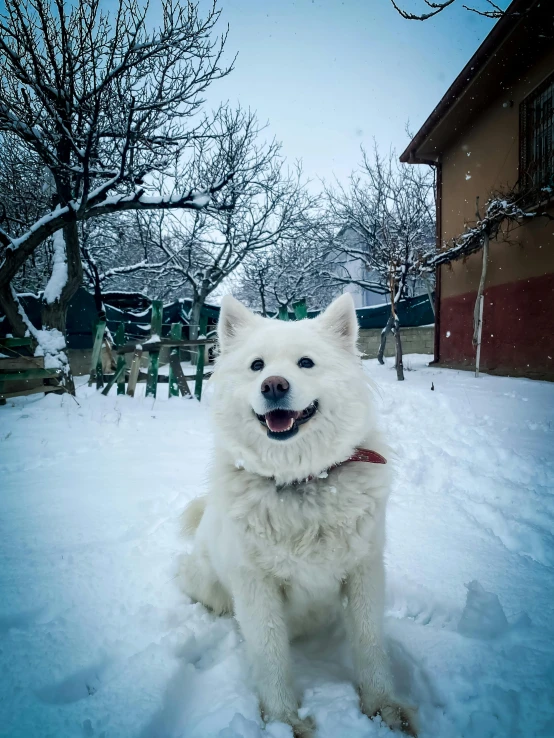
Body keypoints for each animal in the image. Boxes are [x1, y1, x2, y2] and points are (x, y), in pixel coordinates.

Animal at [179, 290, 416, 732]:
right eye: (257, 366)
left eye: (306, 363)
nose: (274, 385)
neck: (301, 481)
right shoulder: (256, 587)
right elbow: (271, 655)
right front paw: (283, 722)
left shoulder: (364, 571)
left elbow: (370, 641)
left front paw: (384, 707)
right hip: (210, 584)